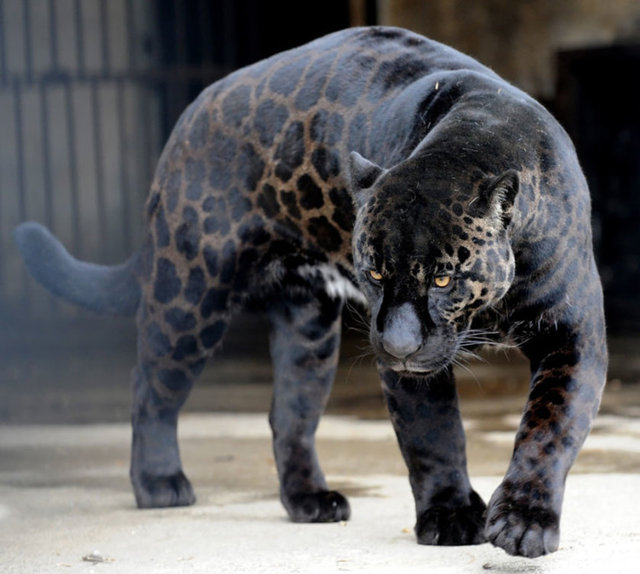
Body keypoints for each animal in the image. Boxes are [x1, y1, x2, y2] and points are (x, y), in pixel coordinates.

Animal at [14, 26, 607, 558]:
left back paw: (309, 500)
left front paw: (524, 523)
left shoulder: (572, 334)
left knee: (289, 415)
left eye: (442, 278)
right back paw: (159, 483)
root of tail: (189, 117)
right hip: (190, 293)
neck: (475, 135)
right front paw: (451, 516)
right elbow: (434, 434)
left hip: (309, 331)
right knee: (151, 386)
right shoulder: (415, 371)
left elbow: (549, 427)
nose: (396, 345)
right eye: (373, 273)